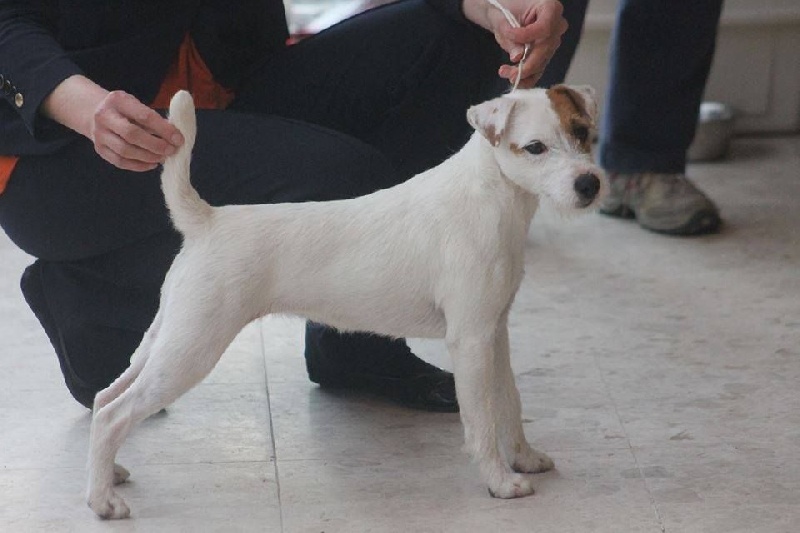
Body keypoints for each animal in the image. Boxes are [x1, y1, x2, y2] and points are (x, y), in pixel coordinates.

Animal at [86, 85, 605, 519]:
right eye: (535, 148)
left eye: (582, 132)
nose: (590, 184)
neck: (492, 196)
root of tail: (206, 221)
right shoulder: (471, 339)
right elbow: (481, 420)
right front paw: (500, 482)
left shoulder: (495, 332)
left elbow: (510, 403)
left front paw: (526, 458)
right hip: (191, 349)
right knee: (114, 415)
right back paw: (102, 501)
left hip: (168, 336)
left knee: (105, 398)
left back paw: (107, 474)